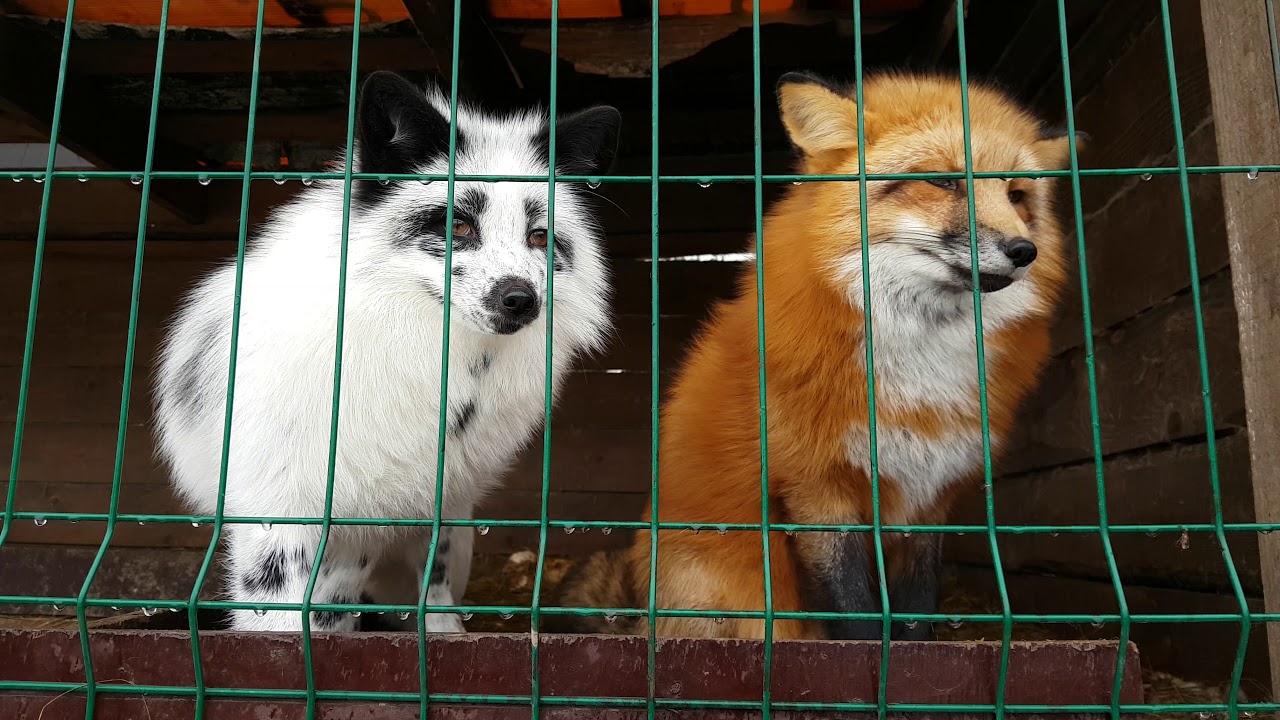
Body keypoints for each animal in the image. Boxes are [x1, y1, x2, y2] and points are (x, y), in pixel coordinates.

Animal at [152, 71, 620, 632]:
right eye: (458, 226)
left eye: (538, 237)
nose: (520, 299)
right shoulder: (279, 511)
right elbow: (279, 626)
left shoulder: (404, 512)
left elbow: (411, 598)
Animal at [553, 71, 1079, 641]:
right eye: (941, 182)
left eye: (1017, 195)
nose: (1023, 251)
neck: (921, 367)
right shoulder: (815, 485)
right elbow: (851, 608)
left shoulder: (930, 491)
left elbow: (916, 609)